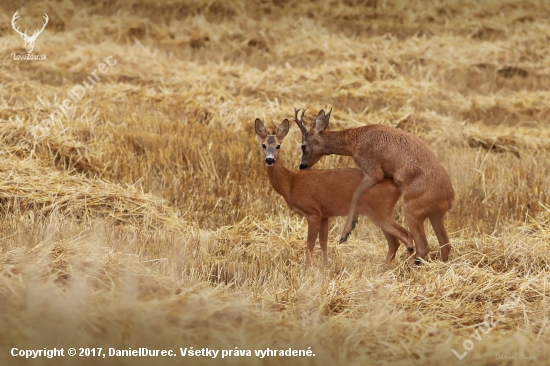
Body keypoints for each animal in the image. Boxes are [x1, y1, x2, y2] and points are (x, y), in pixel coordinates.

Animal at [256, 114, 414, 266]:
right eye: (263, 145)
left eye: (278, 146)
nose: (269, 160)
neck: (290, 182)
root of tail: (396, 186)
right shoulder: (324, 214)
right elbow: (323, 242)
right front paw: (326, 267)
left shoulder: (313, 212)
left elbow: (310, 243)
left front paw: (307, 268)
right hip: (380, 214)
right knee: (394, 243)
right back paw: (383, 269)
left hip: (380, 213)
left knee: (406, 236)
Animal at [294, 107, 458, 264]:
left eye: (303, 146)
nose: (302, 166)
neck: (354, 140)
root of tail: (449, 199)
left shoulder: (373, 171)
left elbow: (356, 195)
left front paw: (346, 233)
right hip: (435, 216)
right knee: (445, 245)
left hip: (412, 211)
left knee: (423, 247)